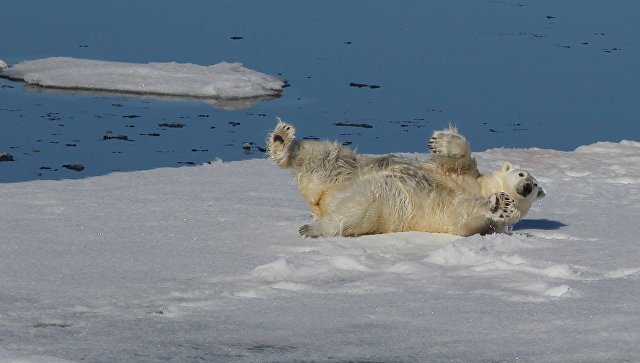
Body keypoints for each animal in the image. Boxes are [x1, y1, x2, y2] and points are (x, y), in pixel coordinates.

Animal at [268, 120, 548, 239]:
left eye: (535, 187)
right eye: (522, 174)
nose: (526, 186)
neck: (481, 188)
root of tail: (320, 201)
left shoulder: (471, 222)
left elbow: (464, 215)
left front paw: (500, 203)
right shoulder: (464, 176)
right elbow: (460, 159)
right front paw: (441, 141)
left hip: (380, 206)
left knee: (354, 212)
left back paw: (312, 228)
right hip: (345, 171)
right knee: (327, 155)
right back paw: (282, 139)